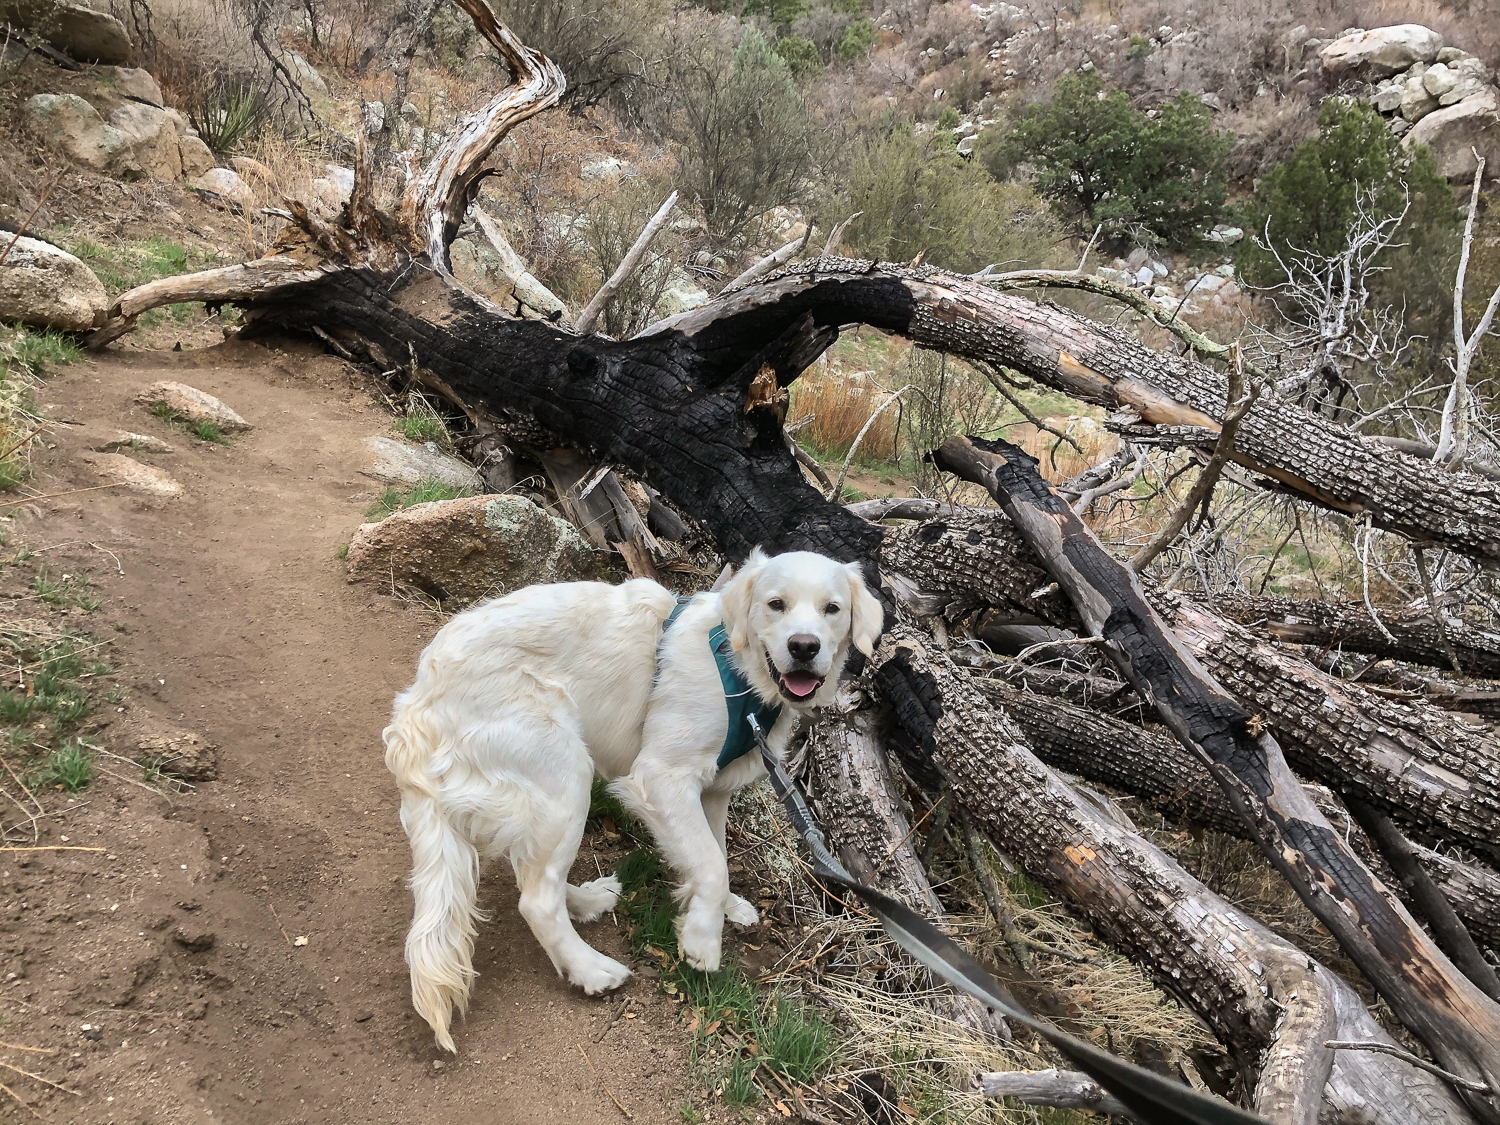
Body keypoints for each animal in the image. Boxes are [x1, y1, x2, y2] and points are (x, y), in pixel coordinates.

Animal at [381, 552, 882, 1056]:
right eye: (776, 604)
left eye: (832, 609)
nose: (804, 647)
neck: (740, 673)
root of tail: (416, 706)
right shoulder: (661, 777)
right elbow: (711, 865)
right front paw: (703, 939)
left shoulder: (713, 790)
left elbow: (716, 855)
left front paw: (723, 909)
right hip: (565, 772)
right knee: (536, 900)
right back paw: (591, 970)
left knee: (534, 874)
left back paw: (587, 900)